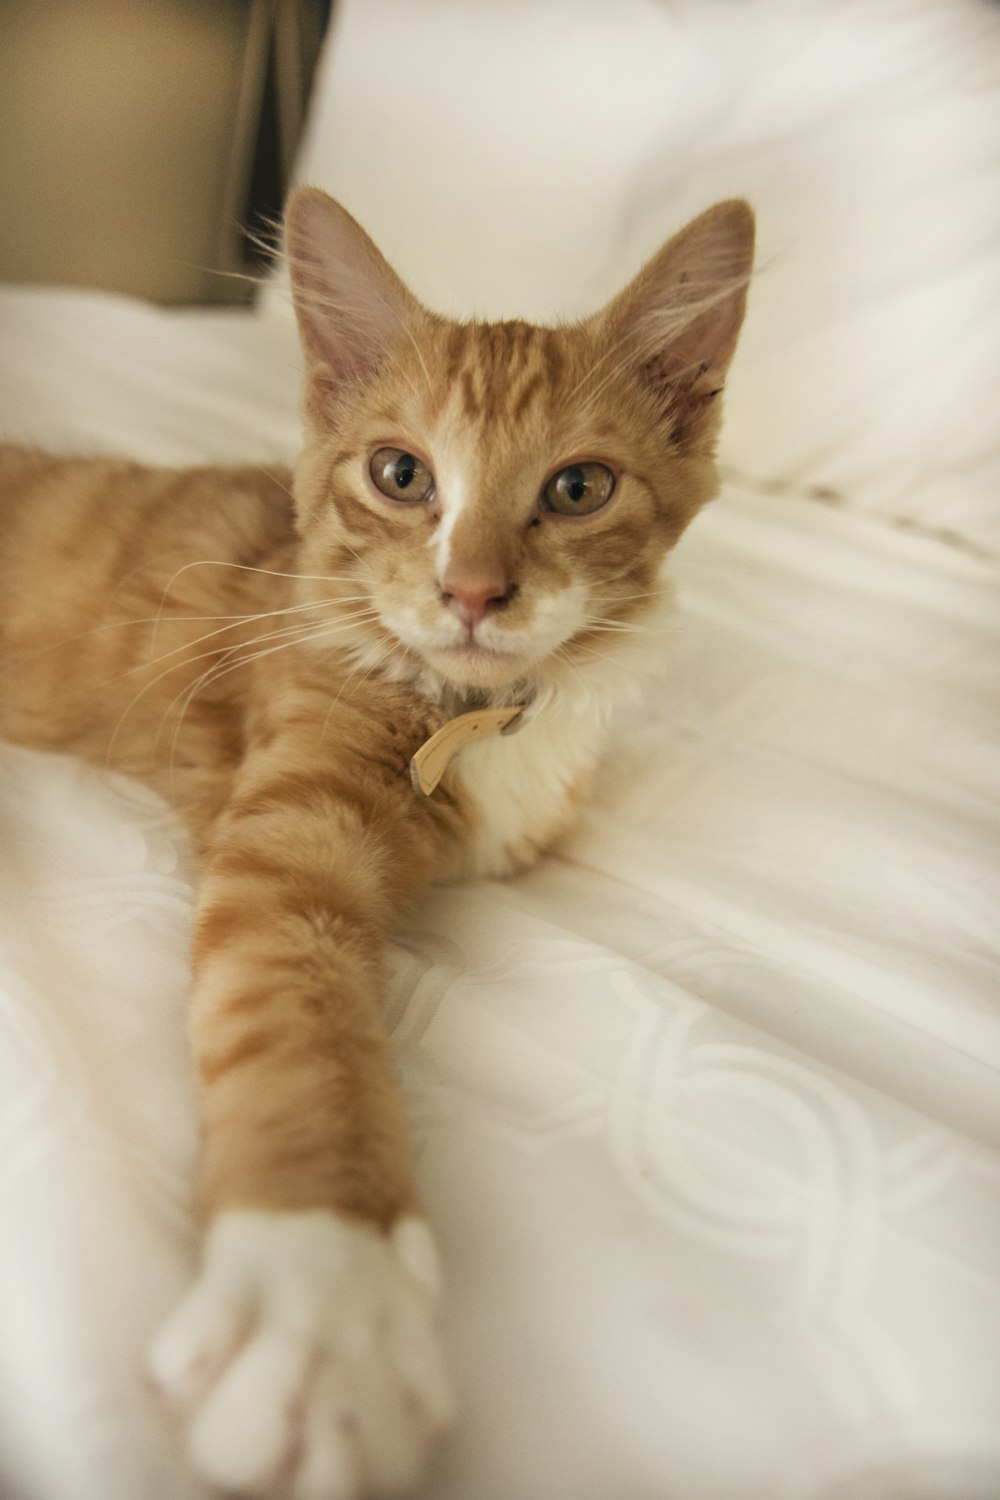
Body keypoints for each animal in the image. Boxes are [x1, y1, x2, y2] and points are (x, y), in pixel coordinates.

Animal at [0, 190, 749, 1500]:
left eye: (578, 487)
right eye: (402, 475)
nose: (474, 592)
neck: (480, 712)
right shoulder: (289, 834)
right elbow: (294, 1018)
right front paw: (321, 1293)